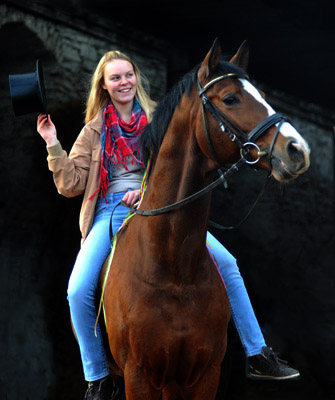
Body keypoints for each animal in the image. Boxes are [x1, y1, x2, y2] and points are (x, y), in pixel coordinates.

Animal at [101, 38, 312, 400]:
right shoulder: (138, 375)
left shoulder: (202, 376)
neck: (172, 268)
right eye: (230, 98)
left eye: (263, 96)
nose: (298, 150)